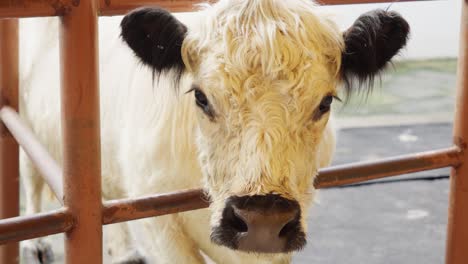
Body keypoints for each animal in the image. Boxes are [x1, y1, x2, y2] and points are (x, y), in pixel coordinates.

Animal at [18, 1, 408, 262]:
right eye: (201, 97)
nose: (262, 219)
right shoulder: (157, 221)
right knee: (31, 181)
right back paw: (33, 245)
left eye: (325, 102)